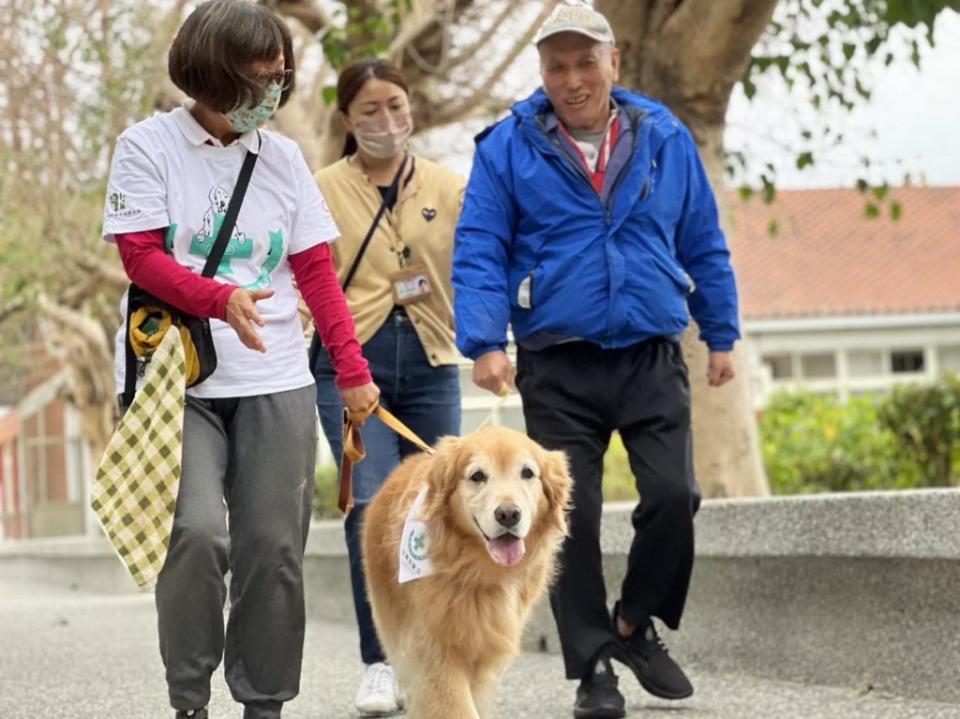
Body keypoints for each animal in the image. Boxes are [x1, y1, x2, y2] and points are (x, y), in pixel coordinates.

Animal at [360, 424, 568, 716]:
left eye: (527, 472)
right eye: (477, 476)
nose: (508, 514)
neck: (476, 570)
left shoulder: (486, 654)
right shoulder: (433, 650)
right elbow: (454, 705)